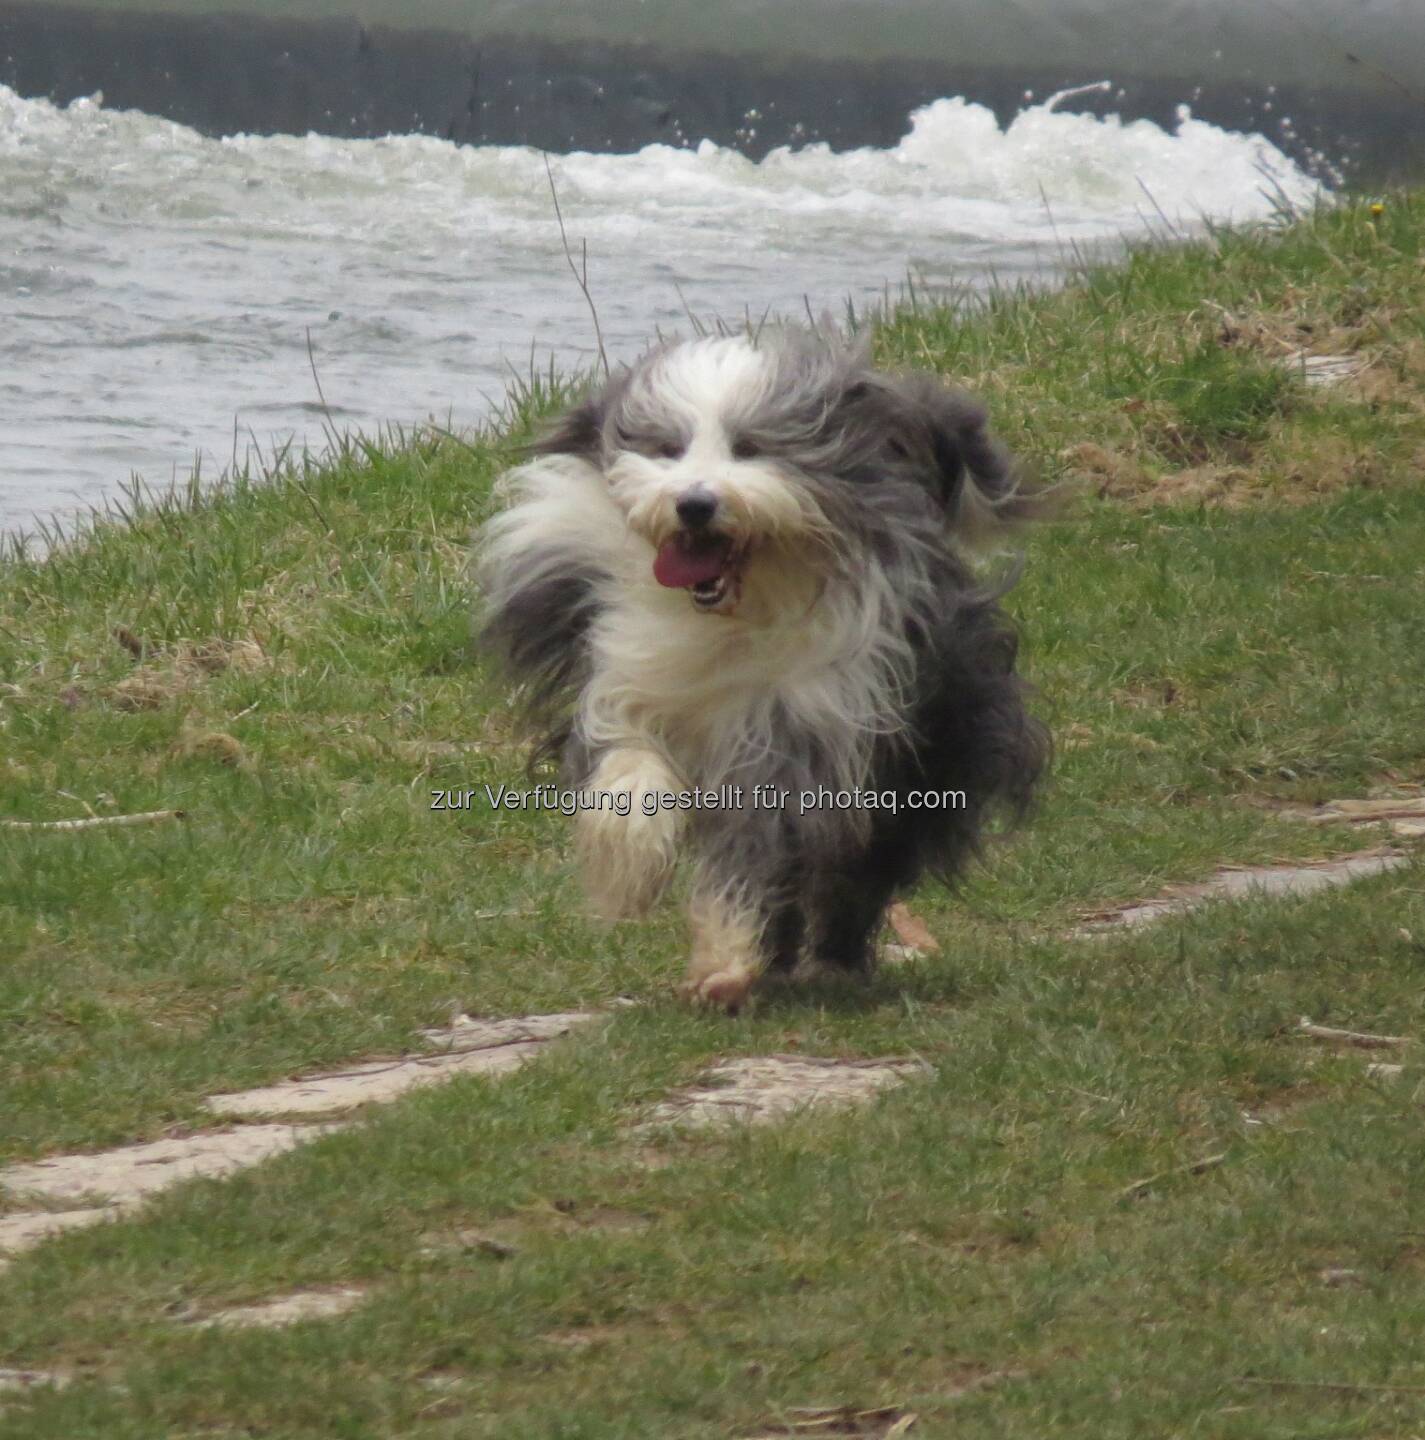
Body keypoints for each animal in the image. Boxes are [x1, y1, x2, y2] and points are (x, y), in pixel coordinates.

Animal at [480, 331, 1047, 1019]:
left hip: (922, 757)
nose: (695, 504)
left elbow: (757, 849)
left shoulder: (799, 734)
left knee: (855, 872)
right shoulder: (625, 671)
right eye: (667, 449)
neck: (732, 615)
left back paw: (826, 962)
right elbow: (626, 762)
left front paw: (722, 963)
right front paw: (630, 866)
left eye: (751, 448)